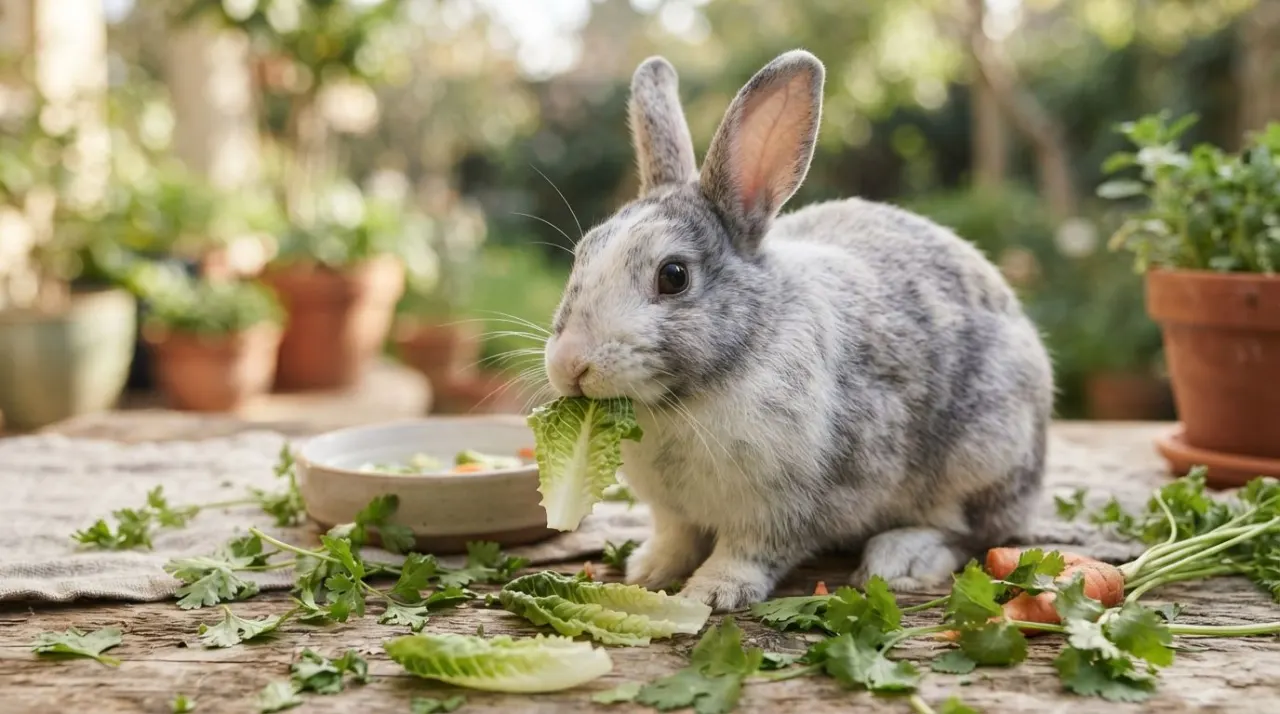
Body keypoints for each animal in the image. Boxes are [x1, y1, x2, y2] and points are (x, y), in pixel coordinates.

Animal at [542, 49, 1054, 611]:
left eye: (673, 276)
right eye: (583, 253)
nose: (569, 364)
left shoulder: (788, 507)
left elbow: (751, 551)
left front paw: (714, 591)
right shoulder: (674, 512)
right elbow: (676, 536)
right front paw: (649, 570)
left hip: (985, 455)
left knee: (974, 531)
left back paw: (903, 557)